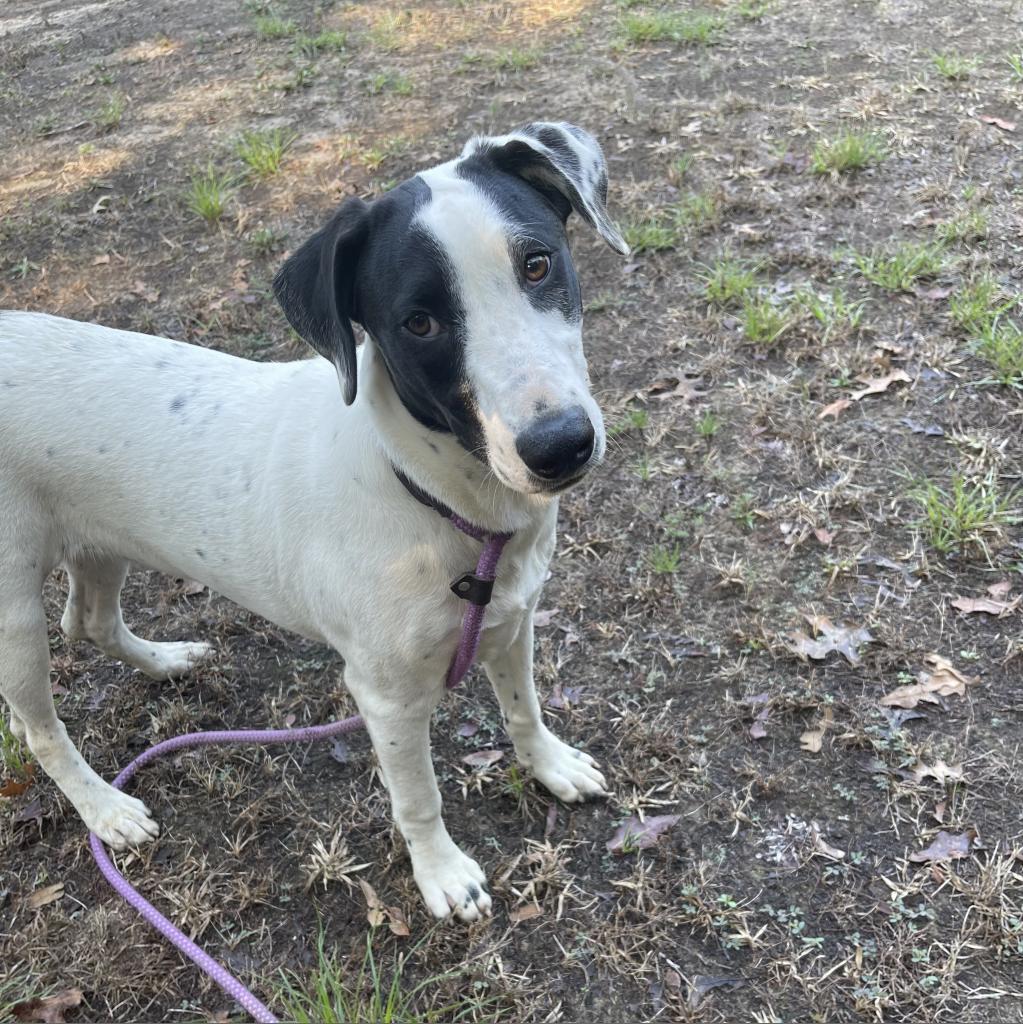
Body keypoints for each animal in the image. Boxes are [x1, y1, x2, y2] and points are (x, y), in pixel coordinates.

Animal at [0, 121, 626, 921]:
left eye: (538, 263)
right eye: (418, 322)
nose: (559, 446)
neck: (433, 496)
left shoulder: (511, 623)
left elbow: (524, 709)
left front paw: (548, 765)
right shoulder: (386, 698)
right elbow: (418, 797)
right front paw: (441, 873)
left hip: (103, 541)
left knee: (90, 621)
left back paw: (165, 662)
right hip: (14, 617)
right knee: (38, 727)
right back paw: (105, 808)